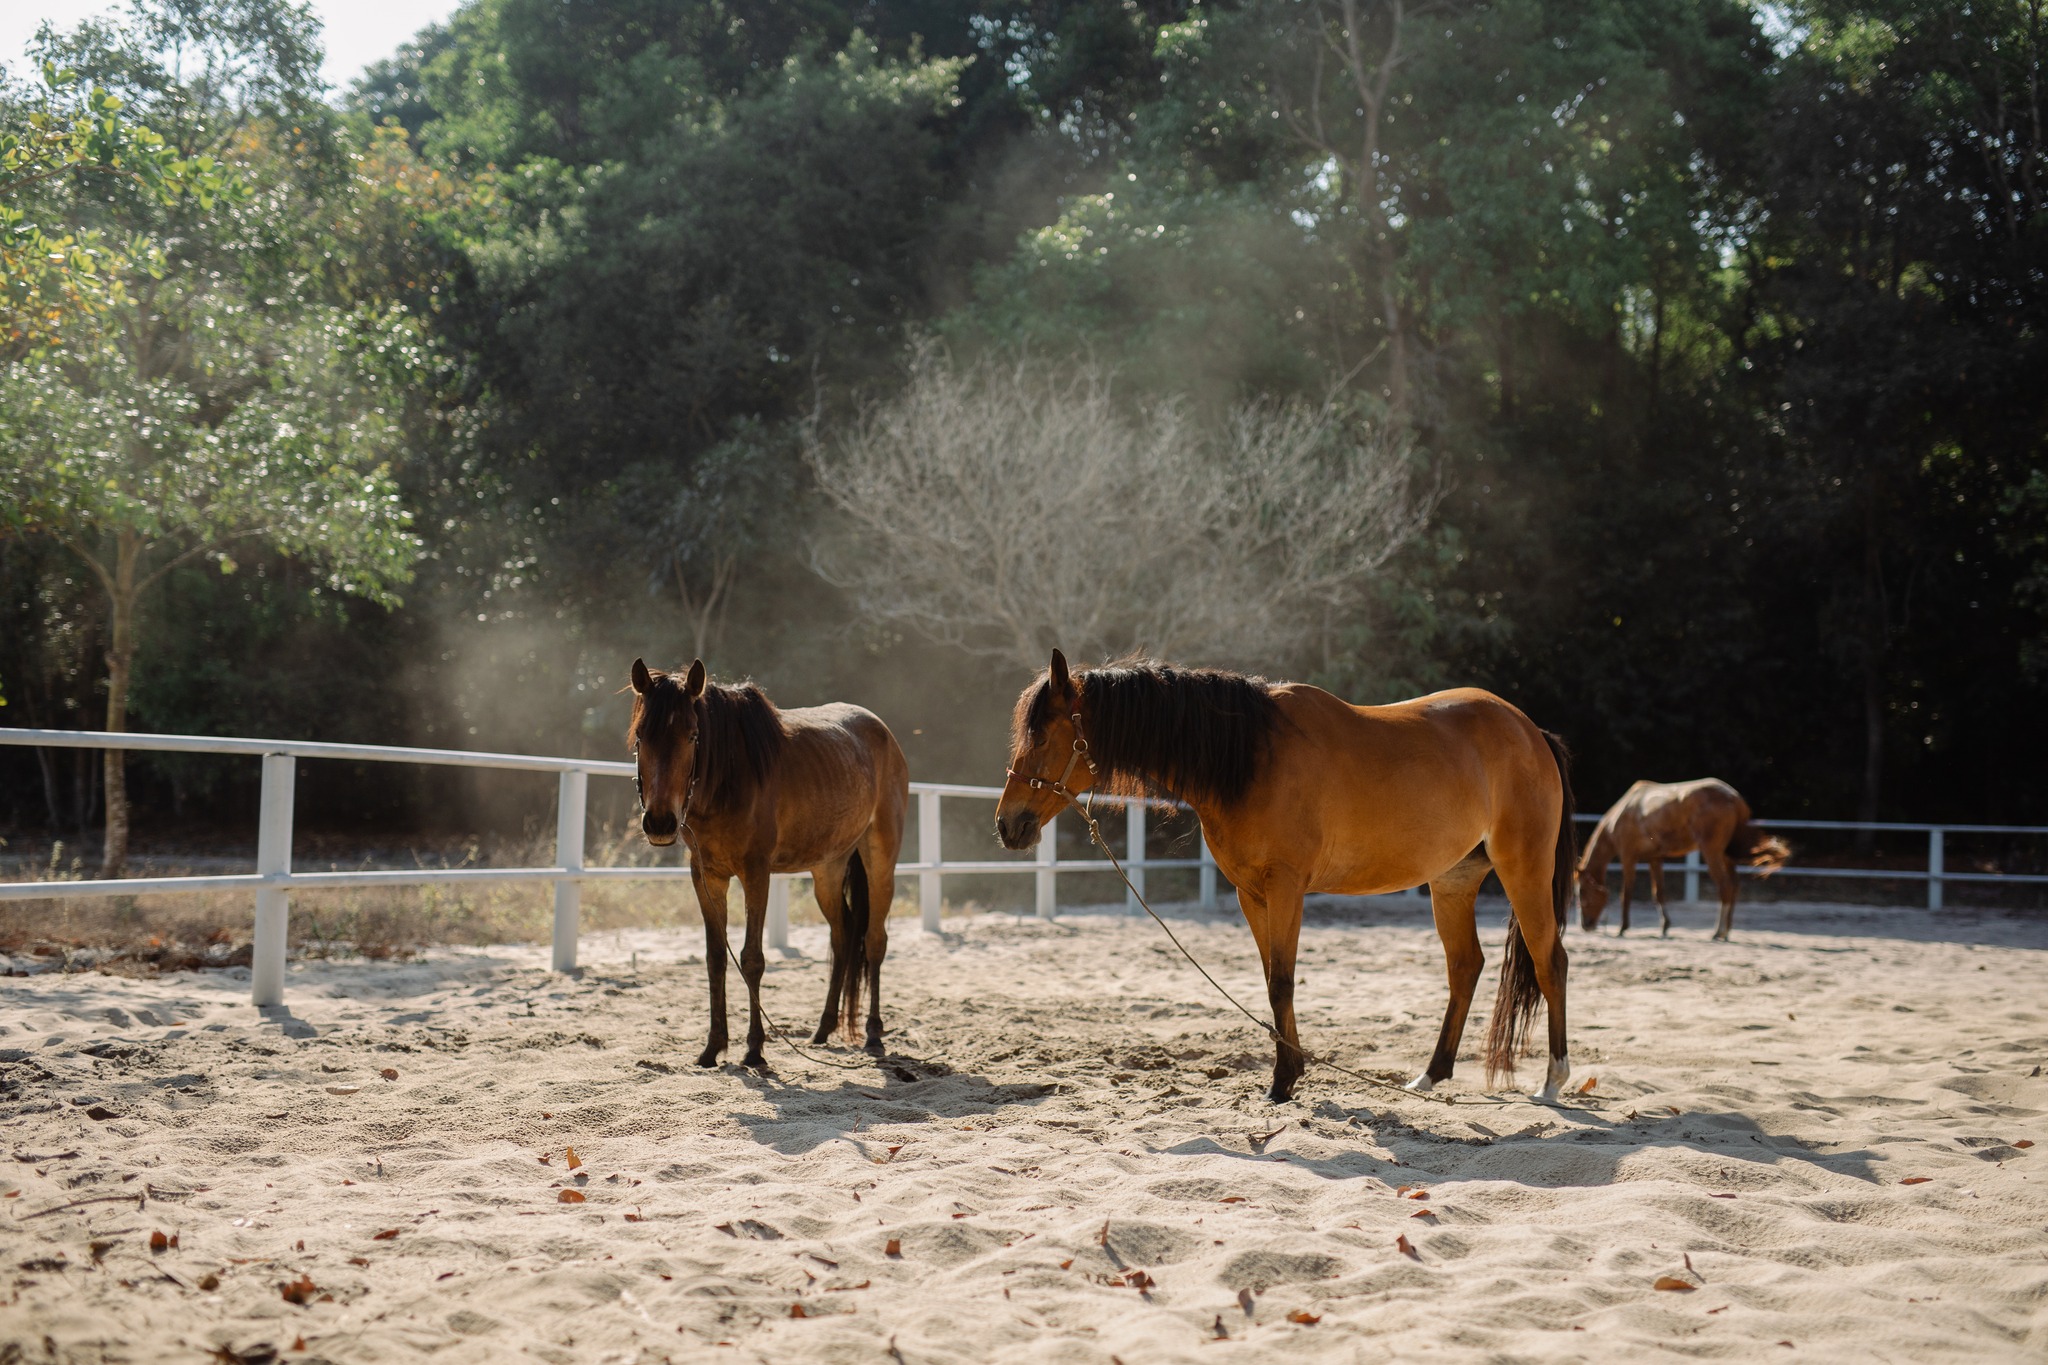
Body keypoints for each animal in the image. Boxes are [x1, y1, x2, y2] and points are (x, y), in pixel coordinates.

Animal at [626, 663, 909, 1064]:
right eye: (640, 737)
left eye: (693, 735)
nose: (660, 823)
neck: (727, 781)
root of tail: (884, 734)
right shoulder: (707, 877)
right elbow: (716, 958)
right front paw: (712, 1048)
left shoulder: (756, 874)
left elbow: (752, 959)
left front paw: (755, 1049)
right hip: (828, 869)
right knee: (842, 937)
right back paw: (823, 1029)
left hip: (880, 861)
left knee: (873, 940)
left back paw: (872, 1033)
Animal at [999, 654, 1572, 1105]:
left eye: (1043, 734)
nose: (1007, 825)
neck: (1252, 758)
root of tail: (1530, 732)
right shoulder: (1251, 893)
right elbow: (1271, 981)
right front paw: (1289, 1074)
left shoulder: (1286, 887)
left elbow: (1282, 981)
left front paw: (1282, 1082)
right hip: (1452, 881)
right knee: (1465, 967)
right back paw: (1430, 1076)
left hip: (1524, 870)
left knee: (1550, 961)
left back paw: (1552, 1081)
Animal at [1572, 777, 1785, 941]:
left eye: (1581, 892)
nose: (1585, 925)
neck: (1622, 813)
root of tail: (1734, 798)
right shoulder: (1655, 859)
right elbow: (1658, 893)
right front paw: (1665, 927)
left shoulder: (1628, 857)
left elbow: (1627, 893)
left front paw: (1622, 928)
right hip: (1726, 855)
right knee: (1734, 885)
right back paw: (1727, 930)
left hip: (1712, 852)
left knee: (1725, 886)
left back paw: (1718, 932)